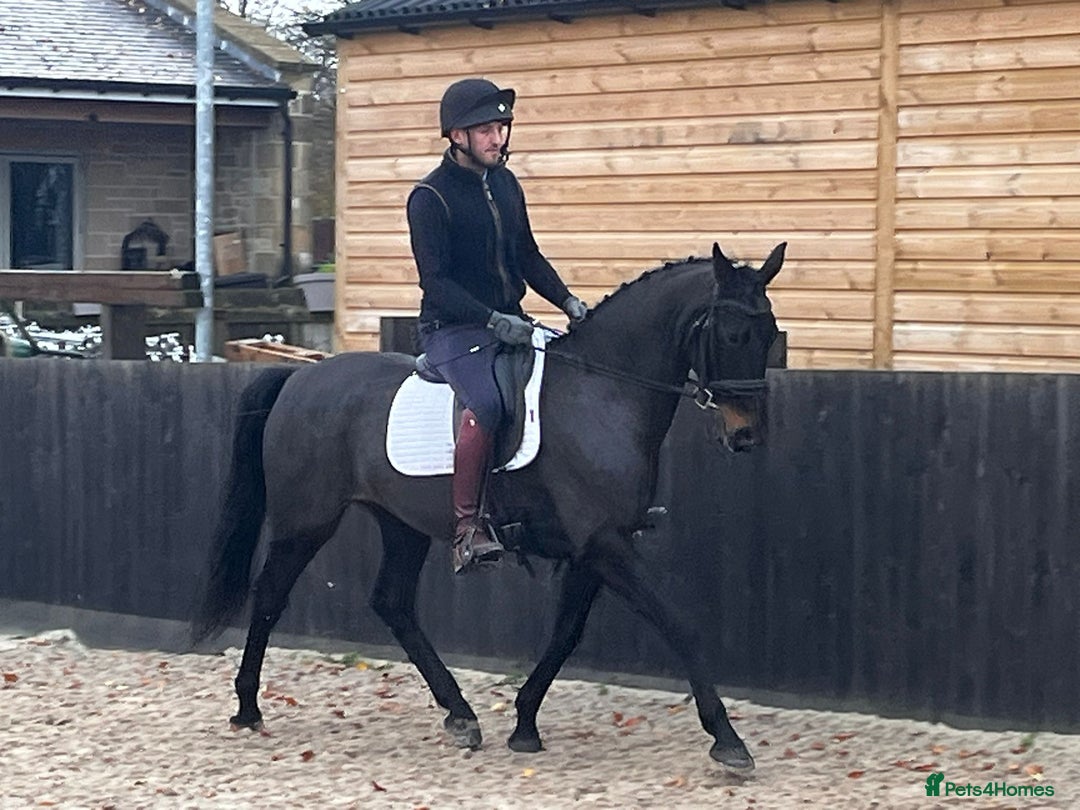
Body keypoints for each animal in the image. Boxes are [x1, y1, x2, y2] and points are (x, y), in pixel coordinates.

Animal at [192, 241, 786, 773]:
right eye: (732, 334)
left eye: (769, 334)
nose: (746, 435)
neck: (601, 392)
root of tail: (301, 374)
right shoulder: (604, 544)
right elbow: (678, 624)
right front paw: (728, 740)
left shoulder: (595, 548)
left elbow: (566, 634)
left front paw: (524, 724)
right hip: (305, 522)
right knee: (271, 594)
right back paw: (247, 708)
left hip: (401, 524)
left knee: (392, 603)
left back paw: (460, 715)